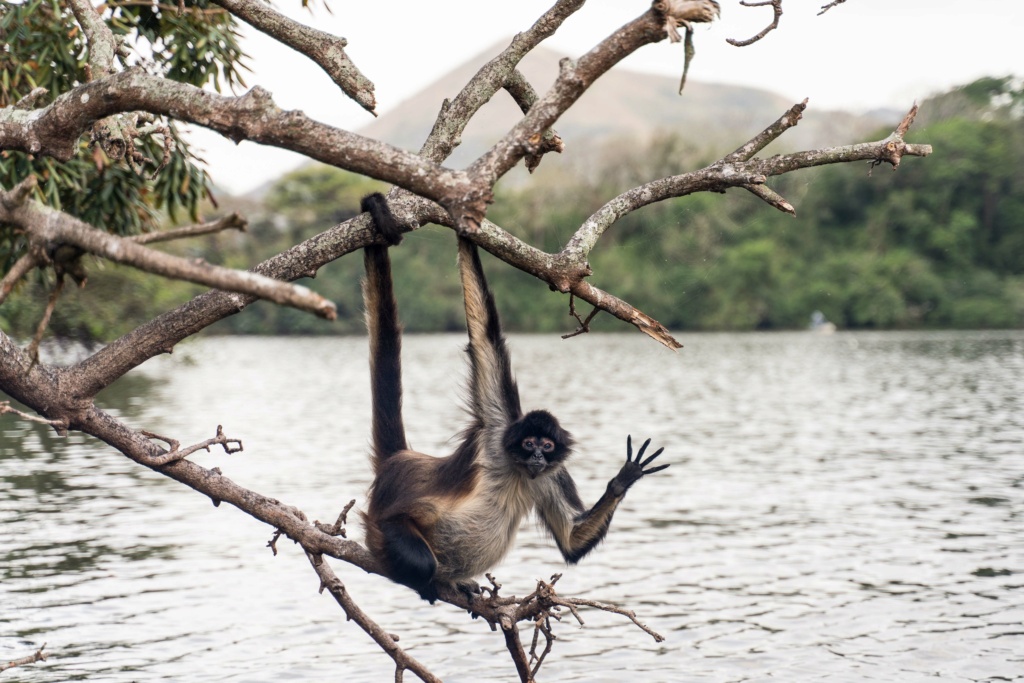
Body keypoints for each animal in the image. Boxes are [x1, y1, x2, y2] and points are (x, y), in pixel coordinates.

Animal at [356, 192, 667, 602]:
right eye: (530, 443)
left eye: (547, 446)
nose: (536, 456)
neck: (519, 469)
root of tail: (401, 463)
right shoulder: (497, 424)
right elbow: (484, 335)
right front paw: (465, 227)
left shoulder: (551, 473)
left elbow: (571, 540)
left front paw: (625, 476)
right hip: (384, 526)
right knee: (417, 558)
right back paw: (430, 582)